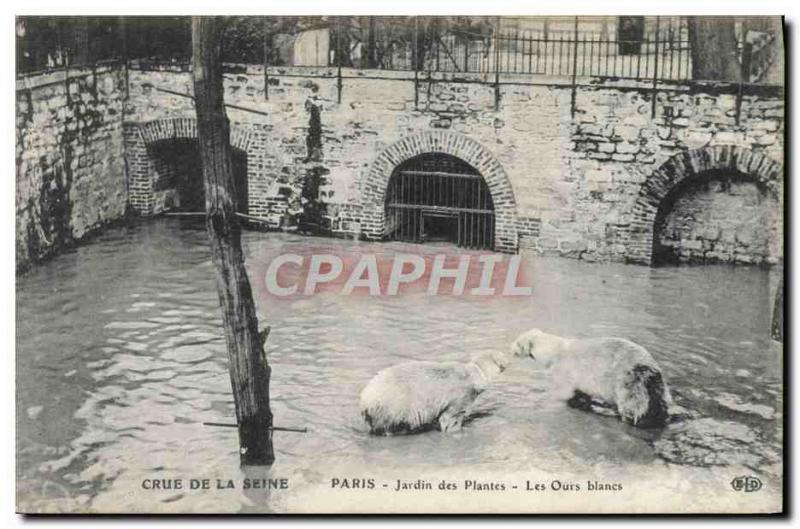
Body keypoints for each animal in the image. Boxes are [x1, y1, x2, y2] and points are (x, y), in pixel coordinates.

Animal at [362, 348, 524, 436]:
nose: (511, 357)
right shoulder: (460, 396)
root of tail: (365, 399)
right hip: (393, 407)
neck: (474, 373)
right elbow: (450, 419)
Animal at [512, 328, 668, 426]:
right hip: (657, 387)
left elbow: (563, 392)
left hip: (629, 382)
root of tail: (649, 370)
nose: (510, 348)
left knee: (631, 407)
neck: (557, 351)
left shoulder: (563, 369)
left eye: (517, 343)